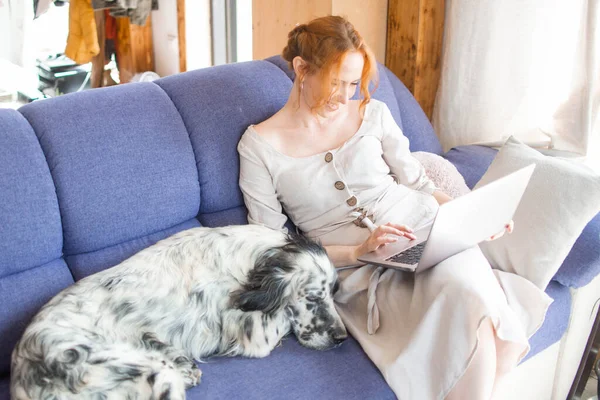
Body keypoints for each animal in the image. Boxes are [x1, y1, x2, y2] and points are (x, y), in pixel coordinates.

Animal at [10, 227, 346, 398]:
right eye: (312, 296)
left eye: (334, 291)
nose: (342, 337)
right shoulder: (255, 336)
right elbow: (280, 315)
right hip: (152, 375)